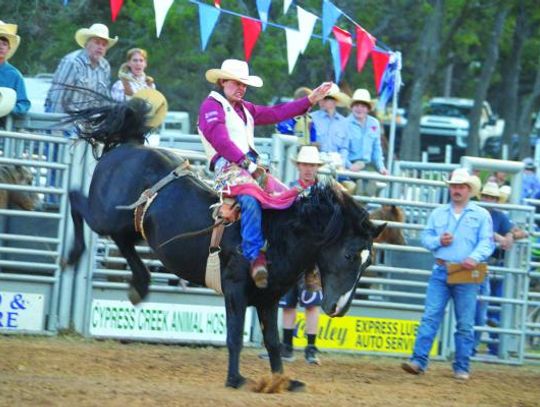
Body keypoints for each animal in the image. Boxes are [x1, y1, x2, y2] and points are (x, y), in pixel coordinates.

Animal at [65, 99, 384, 392]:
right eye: (349, 254)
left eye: (369, 261)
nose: (339, 308)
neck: (278, 234)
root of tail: (128, 146)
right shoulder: (235, 290)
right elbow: (233, 336)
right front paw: (236, 379)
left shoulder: (269, 298)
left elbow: (272, 341)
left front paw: (282, 381)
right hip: (105, 215)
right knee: (75, 199)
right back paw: (72, 255)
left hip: (131, 227)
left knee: (123, 243)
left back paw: (140, 286)